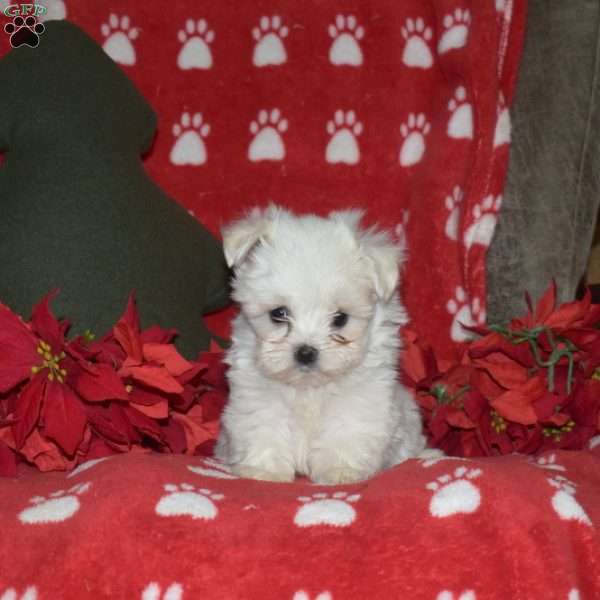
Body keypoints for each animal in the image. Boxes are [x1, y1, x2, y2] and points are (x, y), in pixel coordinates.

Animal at [214, 204, 436, 486]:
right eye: (278, 313)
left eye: (340, 318)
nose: (306, 352)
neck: (309, 388)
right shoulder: (257, 395)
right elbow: (264, 426)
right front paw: (264, 471)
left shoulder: (361, 399)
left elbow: (346, 431)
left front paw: (340, 471)